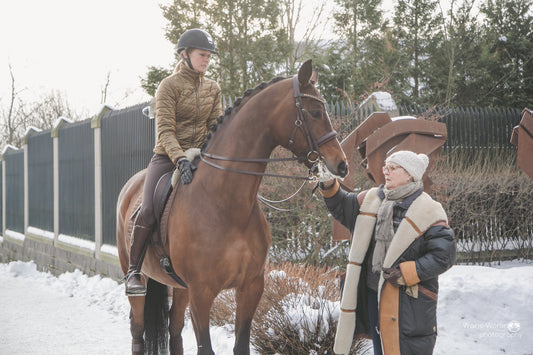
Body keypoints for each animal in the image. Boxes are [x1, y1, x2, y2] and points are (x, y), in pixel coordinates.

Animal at [116, 59, 348, 354]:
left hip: (181, 288)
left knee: (174, 330)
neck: (225, 205)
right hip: (139, 277)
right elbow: (205, 347)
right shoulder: (202, 294)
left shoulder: (250, 287)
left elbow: (241, 344)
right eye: (316, 112)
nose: (341, 165)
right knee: (137, 329)